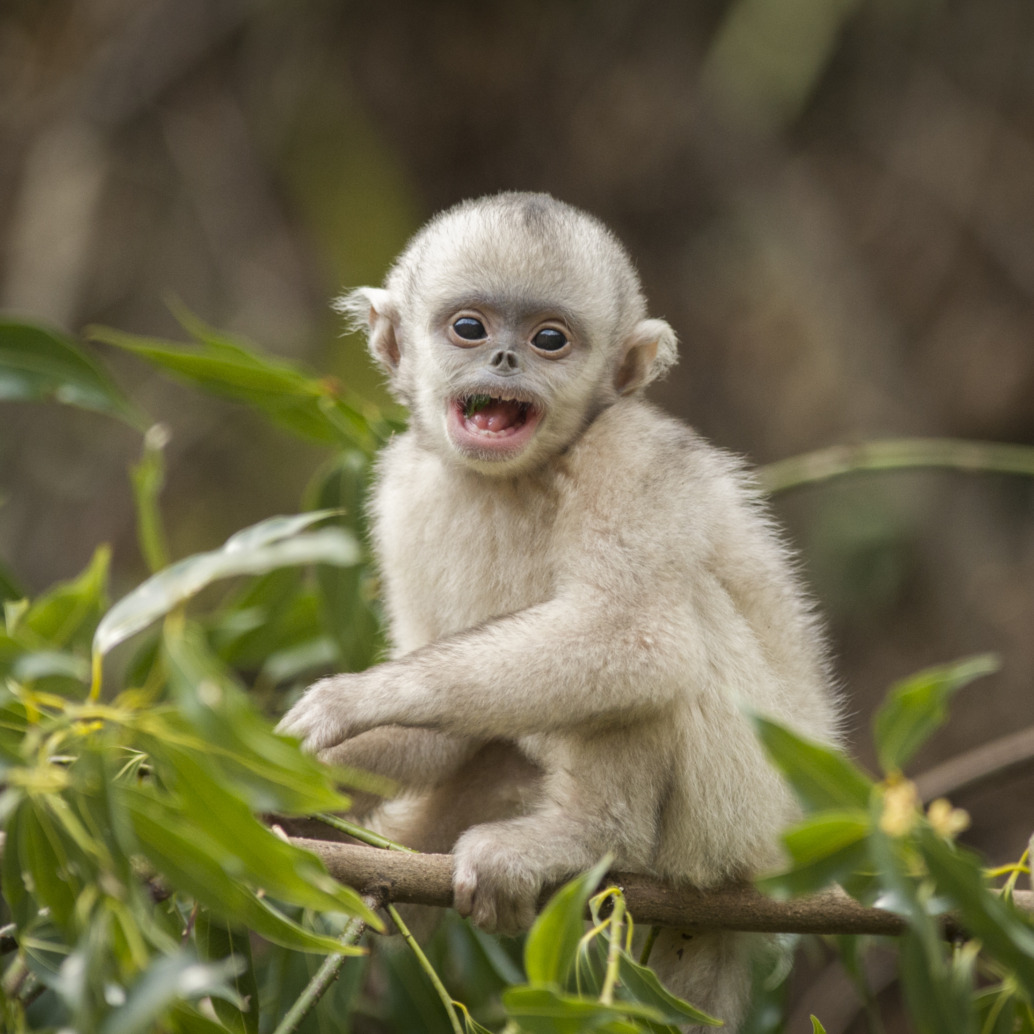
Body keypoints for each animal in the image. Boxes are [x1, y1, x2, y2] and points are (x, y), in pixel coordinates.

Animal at [278, 191, 838, 1031]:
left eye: (550, 340)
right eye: (469, 328)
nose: (506, 362)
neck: (514, 477)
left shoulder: (628, 456)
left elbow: (639, 639)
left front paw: (358, 698)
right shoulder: (401, 488)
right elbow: (436, 731)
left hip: (749, 814)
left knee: (661, 648)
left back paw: (581, 839)